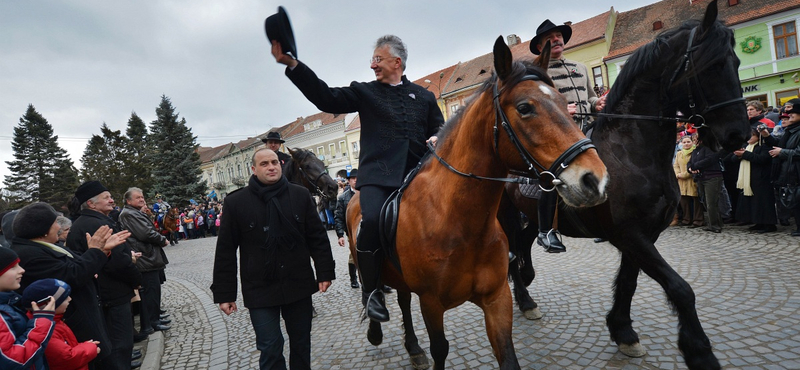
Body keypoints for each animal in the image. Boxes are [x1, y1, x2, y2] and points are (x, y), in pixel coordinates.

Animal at [346, 38, 608, 370]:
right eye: (525, 108)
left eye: (565, 104)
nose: (594, 179)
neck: (458, 220)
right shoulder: (431, 303)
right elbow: (440, 349)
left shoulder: (496, 300)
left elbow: (507, 353)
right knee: (376, 289)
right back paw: (376, 324)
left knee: (403, 300)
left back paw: (413, 347)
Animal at [506, 1, 752, 368]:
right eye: (714, 66)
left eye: (736, 63)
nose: (738, 136)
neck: (632, 152)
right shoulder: (629, 234)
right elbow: (680, 288)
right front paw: (699, 350)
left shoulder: (644, 234)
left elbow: (628, 282)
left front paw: (622, 331)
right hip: (504, 219)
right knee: (510, 256)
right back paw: (523, 297)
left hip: (529, 220)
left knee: (522, 250)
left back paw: (526, 287)